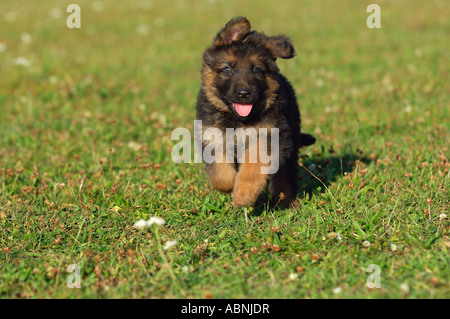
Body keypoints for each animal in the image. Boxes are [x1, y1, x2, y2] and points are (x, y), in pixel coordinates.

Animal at [195, 17, 314, 209]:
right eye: (227, 69)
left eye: (256, 69)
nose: (244, 94)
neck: (238, 121)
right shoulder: (212, 135)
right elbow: (219, 172)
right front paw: (230, 186)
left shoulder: (272, 136)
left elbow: (254, 163)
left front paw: (244, 194)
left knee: (285, 175)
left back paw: (286, 201)